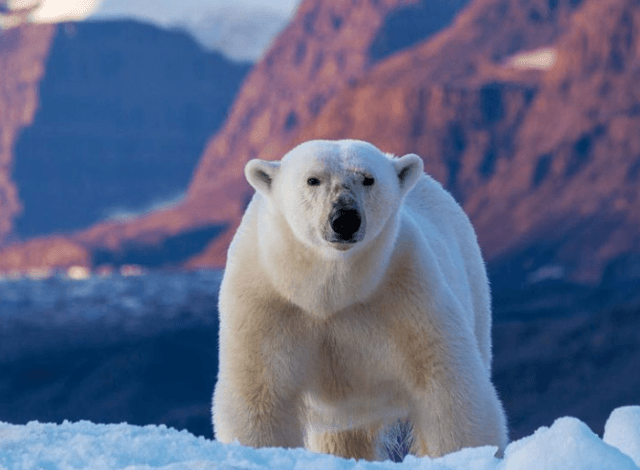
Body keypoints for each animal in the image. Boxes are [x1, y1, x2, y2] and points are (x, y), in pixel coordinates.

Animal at [212, 139, 508, 460]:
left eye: (368, 179)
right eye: (313, 179)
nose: (345, 219)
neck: (329, 293)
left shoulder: (407, 291)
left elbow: (446, 387)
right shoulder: (266, 303)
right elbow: (260, 394)